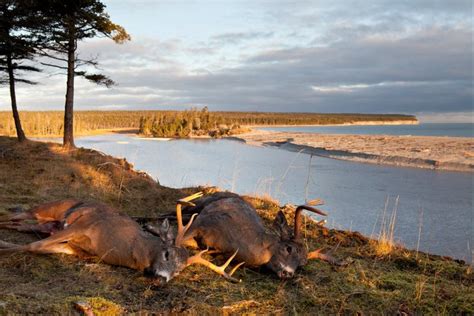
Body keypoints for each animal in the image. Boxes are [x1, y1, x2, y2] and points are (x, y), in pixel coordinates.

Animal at [0, 194, 243, 282]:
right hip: (46, 210)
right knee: (15, 215)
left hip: (44, 224)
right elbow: (34, 245)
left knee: (16, 224)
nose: (161, 279)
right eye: (166, 253)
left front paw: (4, 246)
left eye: (180, 271)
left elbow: (35, 247)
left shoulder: (76, 250)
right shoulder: (82, 225)